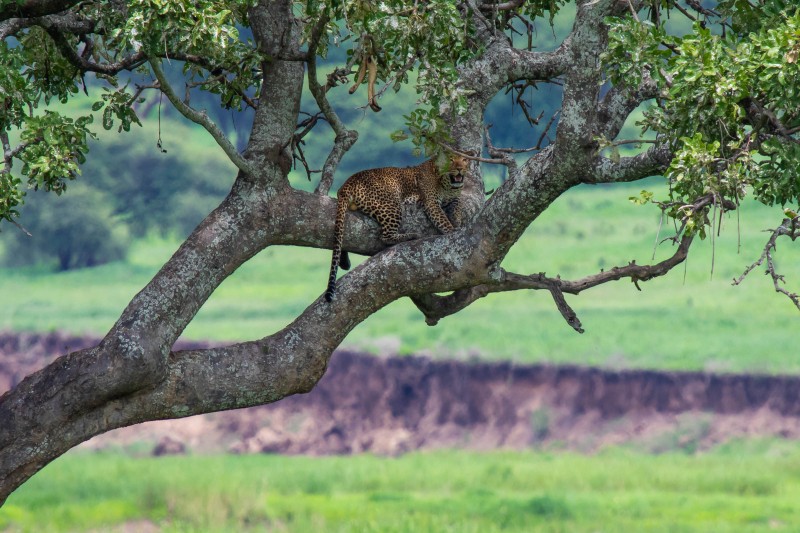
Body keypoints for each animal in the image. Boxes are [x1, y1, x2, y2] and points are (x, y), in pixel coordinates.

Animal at [324, 152, 476, 302]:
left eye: (464, 159)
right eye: (451, 159)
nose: (460, 169)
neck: (448, 185)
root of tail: (349, 181)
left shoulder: (454, 199)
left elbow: (457, 210)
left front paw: (458, 222)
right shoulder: (431, 203)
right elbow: (443, 220)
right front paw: (453, 231)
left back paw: (344, 261)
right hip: (392, 205)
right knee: (386, 236)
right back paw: (411, 235)